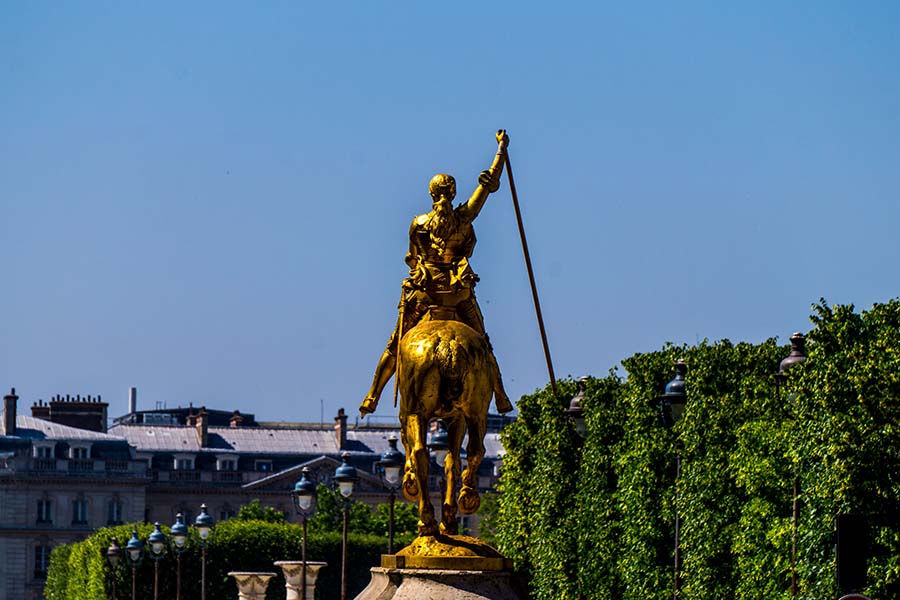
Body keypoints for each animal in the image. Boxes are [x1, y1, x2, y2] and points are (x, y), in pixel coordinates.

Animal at [400, 316, 492, 536]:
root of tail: (448, 342)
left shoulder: (407, 415)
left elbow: (407, 444)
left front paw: (409, 481)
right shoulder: (457, 419)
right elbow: (453, 462)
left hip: (416, 412)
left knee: (419, 453)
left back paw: (427, 520)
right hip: (477, 413)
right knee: (474, 451)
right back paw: (464, 500)